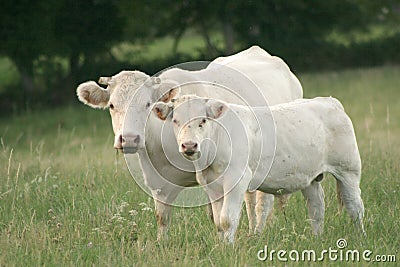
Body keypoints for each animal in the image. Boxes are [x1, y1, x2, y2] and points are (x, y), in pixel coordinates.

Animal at [75, 45, 302, 239]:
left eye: (147, 104)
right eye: (112, 105)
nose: (129, 139)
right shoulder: (158, 182)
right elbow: (162, 217)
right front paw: (161, 244)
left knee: (263, 203)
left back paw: (257, 232)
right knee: (250, 197)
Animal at [153, 94, 366, 243]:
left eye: (203, 121)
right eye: (175, 121)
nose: (189, 145)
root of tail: (329, 101)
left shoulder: (237, 179)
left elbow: (227, 219)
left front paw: (228, 249)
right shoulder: (211, 185)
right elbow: (218, 222)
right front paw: (220, 246)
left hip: (348, 170)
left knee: (354, 205)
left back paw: (360, 236)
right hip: (309, 177)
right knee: (316, 206)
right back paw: (317, 238)